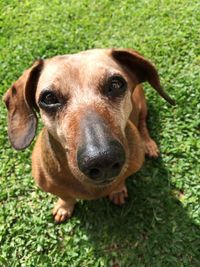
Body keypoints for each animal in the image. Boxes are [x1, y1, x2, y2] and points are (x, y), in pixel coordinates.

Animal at [3, 48, 175, 224]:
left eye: (116, 84)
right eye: (49, 98)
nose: (103, 160)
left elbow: (120, 180)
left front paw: (118, 190)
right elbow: (65, 196)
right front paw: (64, 207)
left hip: (141, 105)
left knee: (142, 124)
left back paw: (148, 144)